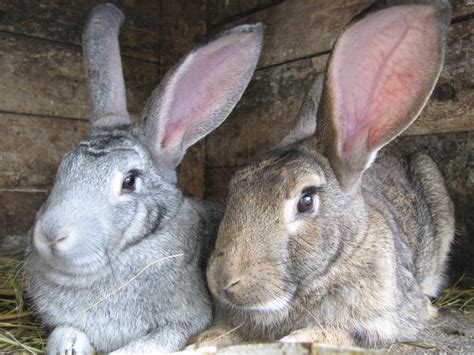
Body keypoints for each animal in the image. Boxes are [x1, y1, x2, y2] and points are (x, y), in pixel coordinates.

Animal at [23, 3, 262, 355]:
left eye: (129, 181)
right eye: (63, 166)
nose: (52, 235)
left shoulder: (183, 324)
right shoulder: (63, 324)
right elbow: (64, 333)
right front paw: (67, 347)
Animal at [193, 0, 456, 350]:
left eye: (306, 202)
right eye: (234, 190)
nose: (223, 280)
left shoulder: (387, 318)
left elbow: (346, 331)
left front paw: (301, 338)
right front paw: (200, 342)